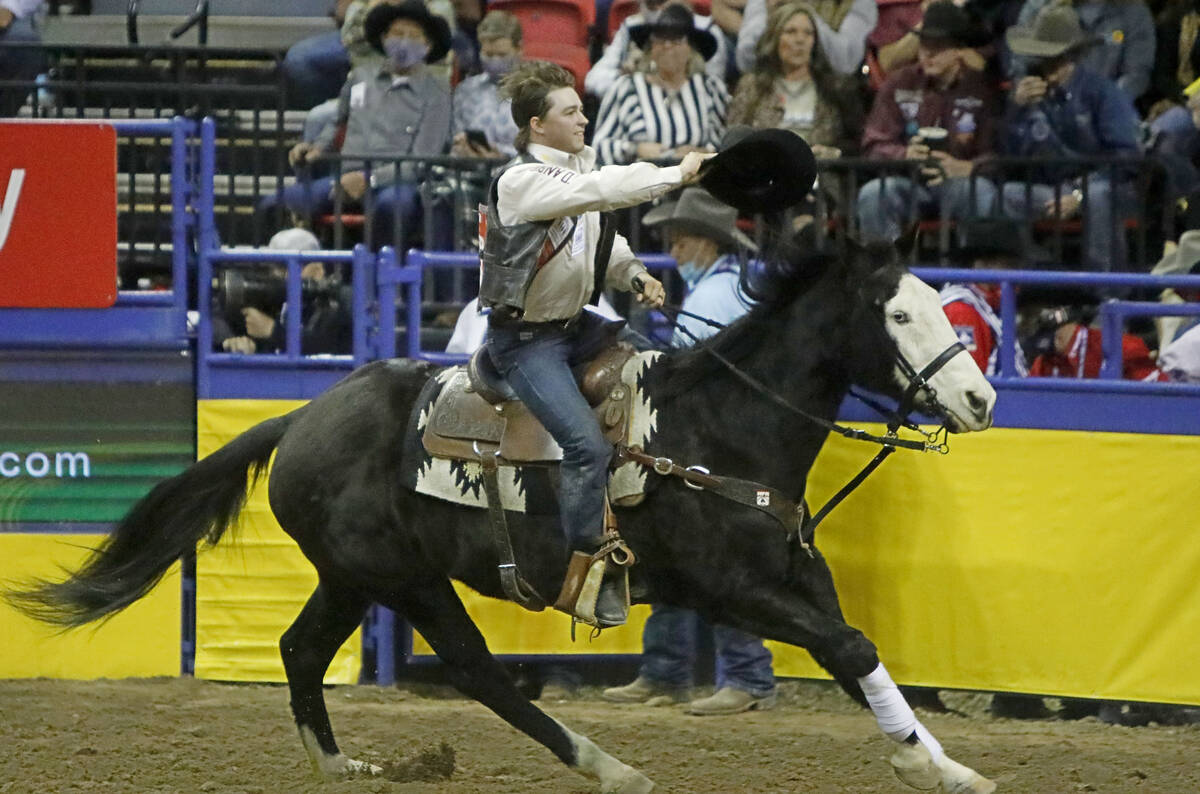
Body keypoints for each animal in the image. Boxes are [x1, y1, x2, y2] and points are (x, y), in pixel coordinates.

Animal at [9, 237, 998, 794]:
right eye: (899, 314)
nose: (982, 398)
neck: (718, 426)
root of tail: (302, 418)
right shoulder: (726, 588)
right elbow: (850, 648)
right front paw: (929, 765)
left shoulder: (795, 573)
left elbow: (856, 650)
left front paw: (944, 763)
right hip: (407, 581)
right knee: (478, 671)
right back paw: (607, 767)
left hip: (351, 576)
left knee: (299, 650)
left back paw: (341, 767)